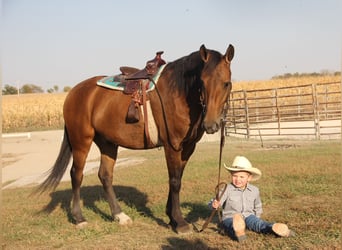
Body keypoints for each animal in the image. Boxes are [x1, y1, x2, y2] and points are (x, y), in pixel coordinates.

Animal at [37, 44, 235, 233]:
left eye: (226, 83)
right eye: (202, 82)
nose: (211, 125)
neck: (178, 92)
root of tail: (73, 93)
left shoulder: (188, 147)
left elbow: (177, 177)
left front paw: (171, 217)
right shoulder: (172, 146)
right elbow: (175, 181)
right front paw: (179, 222)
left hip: (108, 143)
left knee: (105, 176)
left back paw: (119, 215)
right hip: (81, 141)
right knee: (76, 175)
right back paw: (79, 218)